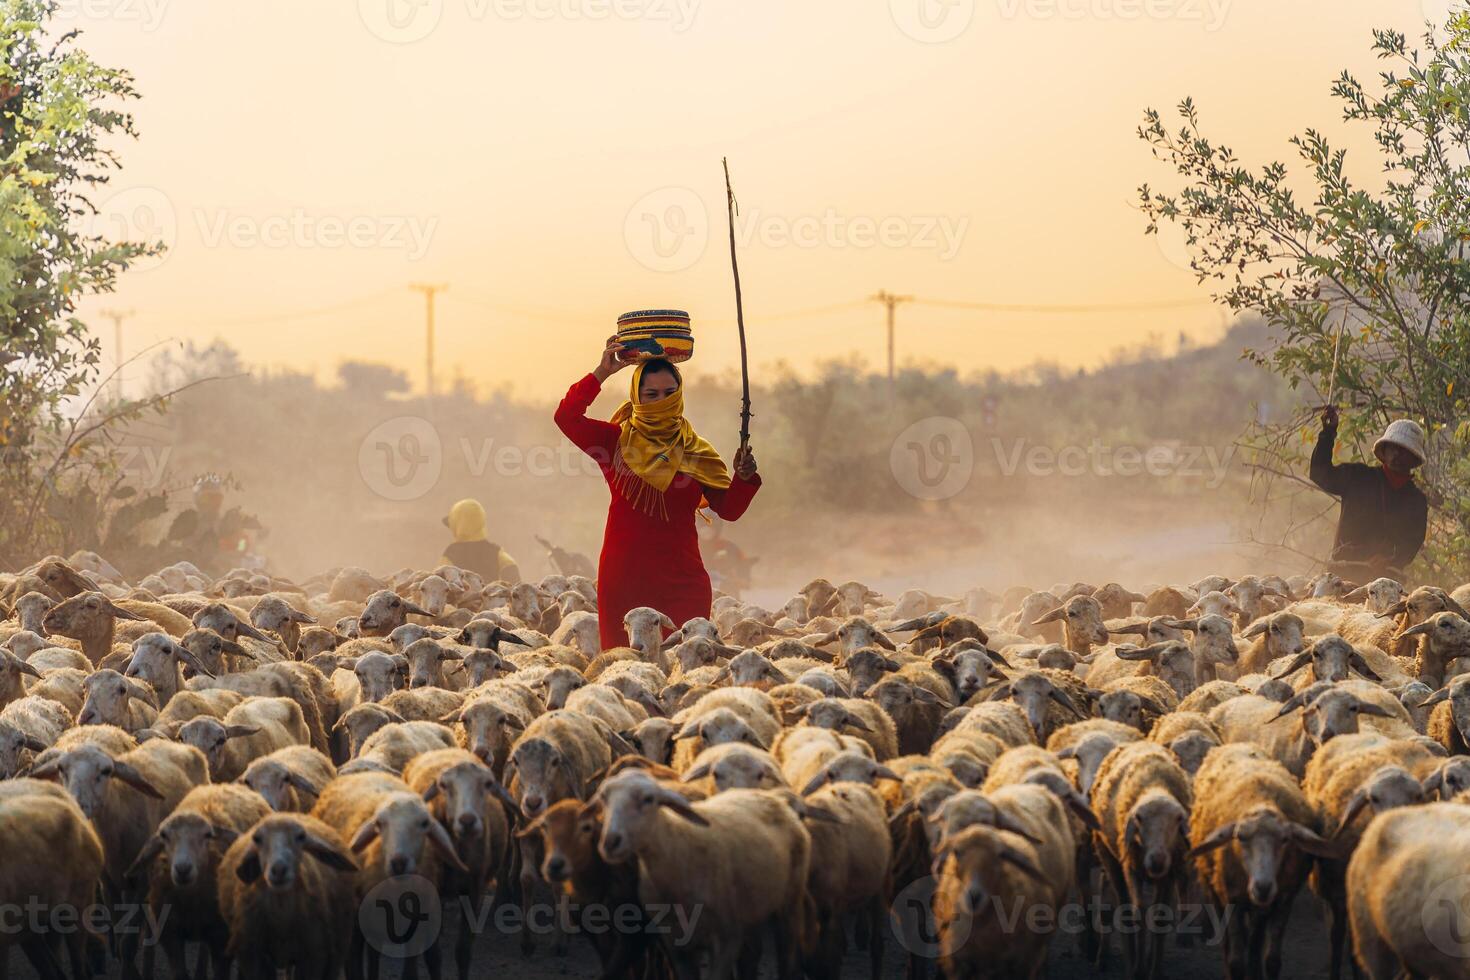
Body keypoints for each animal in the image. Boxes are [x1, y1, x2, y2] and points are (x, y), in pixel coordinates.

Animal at [127, 781, 274, 980]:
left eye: (207, 835)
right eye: (164, 835)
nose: (183, 869)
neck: (191, 899)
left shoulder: (222, 938)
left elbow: (221, 973)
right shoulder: (170, 935)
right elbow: (180, 973)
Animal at [214, 811, 360, 980]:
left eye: (301, 836)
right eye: (257, 839)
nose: (278, 869)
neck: (281, 914)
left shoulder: (314, 954)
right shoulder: (252, 954)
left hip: (338, 946)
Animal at [590, 769, 817, 975]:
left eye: (648, 799)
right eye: (603, 797)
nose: (610, 842)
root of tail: (775, 799)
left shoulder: (727, 938)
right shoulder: (676, 944)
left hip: (790, 903)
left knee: (787, 957)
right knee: (751, 956)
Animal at [1187, 743, 1340, 980]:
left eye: (1285, 840)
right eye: (1240, 837)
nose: (1263, 887)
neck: (1260, 800)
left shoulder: (1283, 899)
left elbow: (1272, 960)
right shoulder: (1232, 900)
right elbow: (1236, 962)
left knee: (1254, 943)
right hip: (1214, 890)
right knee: (1229, 944)